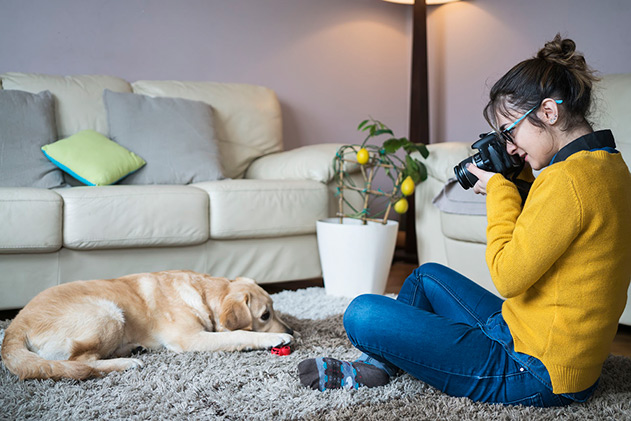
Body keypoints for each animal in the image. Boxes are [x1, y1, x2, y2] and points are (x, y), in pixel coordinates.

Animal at [0, 270, 294, 380]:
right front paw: (274, 339)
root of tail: (14, 326)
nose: (291, 330)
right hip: (108, 312)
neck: (203, 293)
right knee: (83, 362)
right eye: (265, 315)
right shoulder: (190, 338)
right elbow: (238, 335)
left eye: (274, 308)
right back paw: (126, 362)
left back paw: (130, 349)